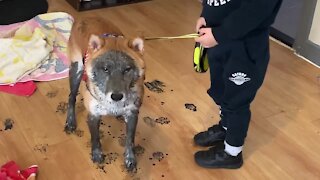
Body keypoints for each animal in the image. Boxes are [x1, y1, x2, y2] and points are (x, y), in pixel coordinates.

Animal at [64, 16, 144, 170]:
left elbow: (130, 140)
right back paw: (70, 121)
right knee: (71, 97)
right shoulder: (93, 115)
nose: (117, 96)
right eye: (105, 69)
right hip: (76, 71)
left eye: (127, 69)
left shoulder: (132, 113)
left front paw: (129, 158)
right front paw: (97, 154)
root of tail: (84, 18)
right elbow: (95, 138)